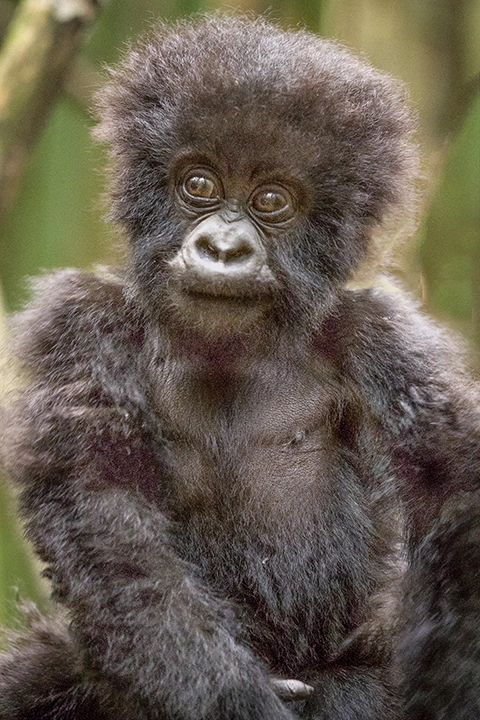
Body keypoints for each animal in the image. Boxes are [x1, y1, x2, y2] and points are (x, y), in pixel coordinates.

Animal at [0, 14, 479, 720]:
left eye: (272, 199)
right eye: (198, 185)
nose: (223, 248)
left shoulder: (381, 334)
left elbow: (456, 493)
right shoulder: (82, 324)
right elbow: (105, 520)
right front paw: (234, 696)